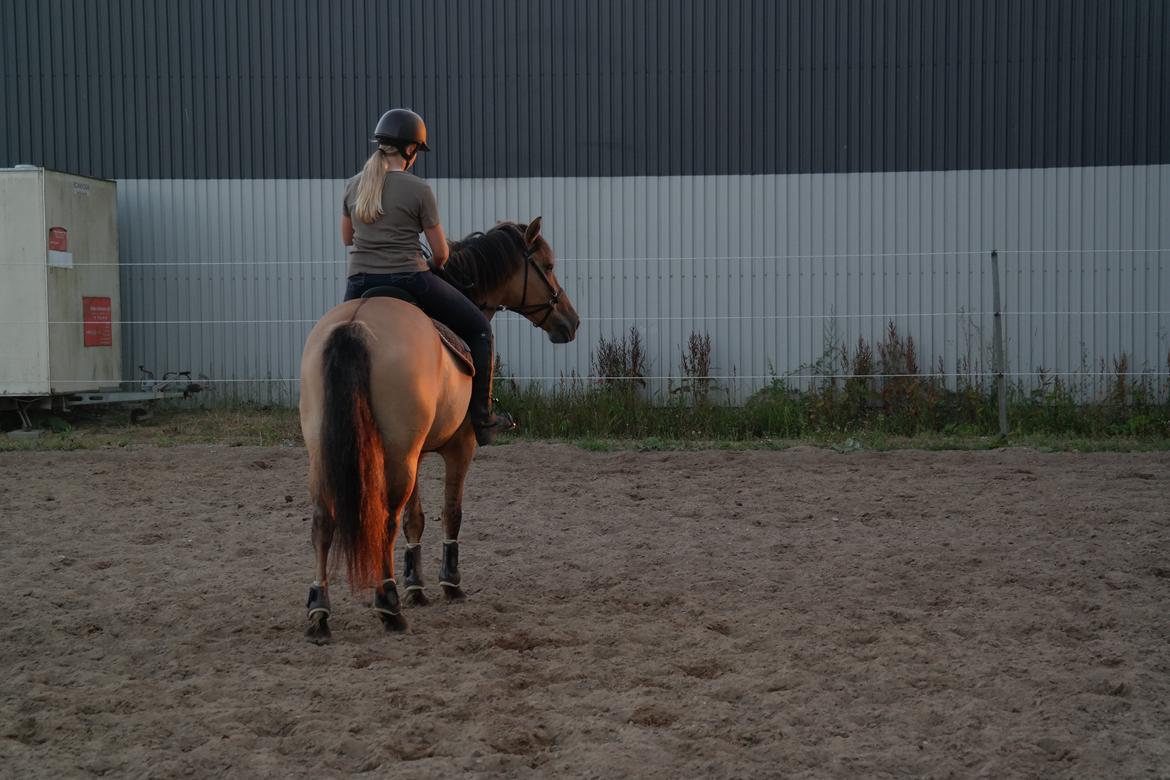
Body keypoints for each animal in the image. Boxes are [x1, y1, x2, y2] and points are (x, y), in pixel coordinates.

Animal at [297, 215, 580, 640]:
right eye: (546, 266)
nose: (571, 320)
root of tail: (355, 324)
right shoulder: (458, 449)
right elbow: (451, 512)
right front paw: (450, 582)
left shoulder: (414, 455)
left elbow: (416, 518)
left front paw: (416, 584)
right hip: (398, 455)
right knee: (385, 520)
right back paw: (388, 605)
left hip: (329, 452)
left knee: (323, 520)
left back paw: (320, 609)